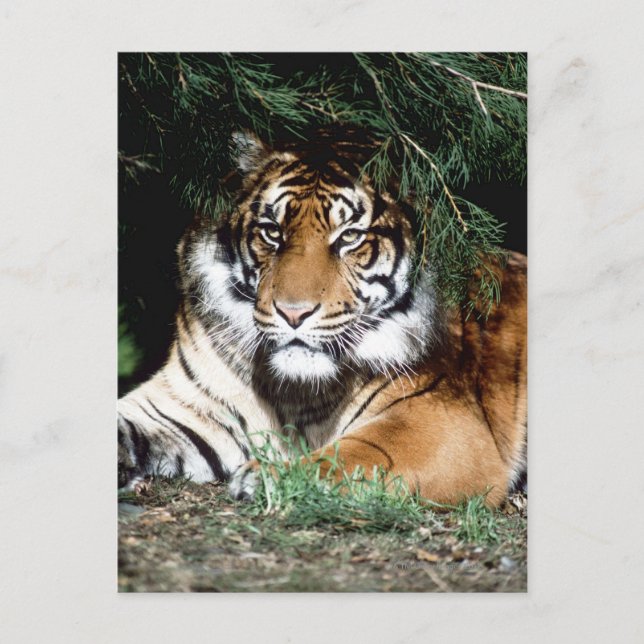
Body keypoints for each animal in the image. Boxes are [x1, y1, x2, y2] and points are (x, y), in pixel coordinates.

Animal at [118, 129, 527, 508]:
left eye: (349, 237)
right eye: (272, 232)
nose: (293, 312)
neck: (292, 391)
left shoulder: (442, 424)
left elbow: (355, 455)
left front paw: (267, 478)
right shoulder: (182, 404)